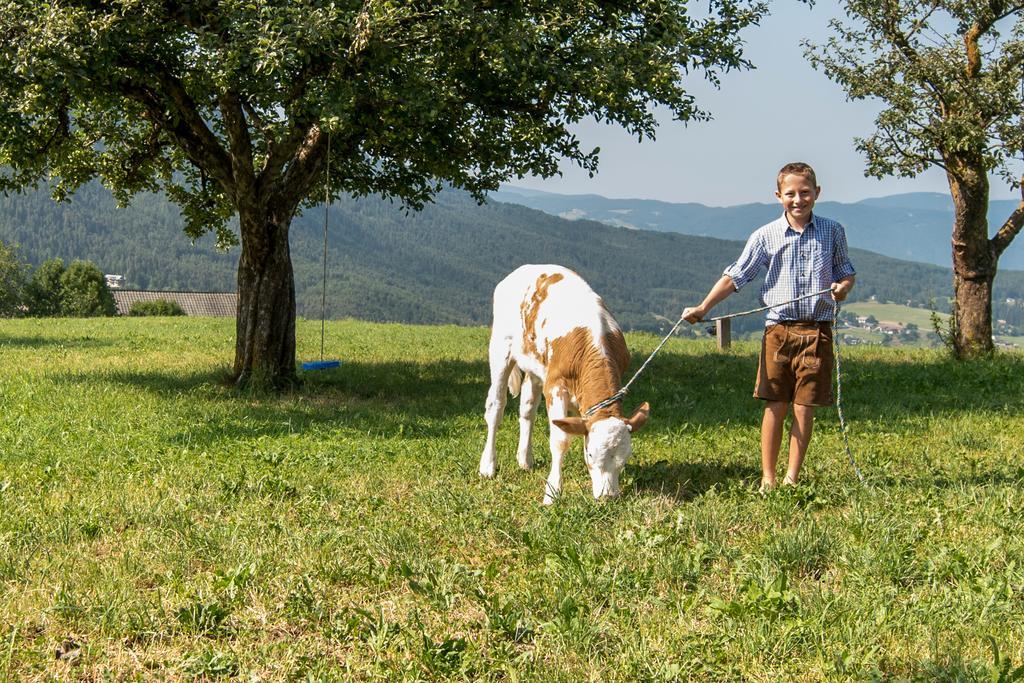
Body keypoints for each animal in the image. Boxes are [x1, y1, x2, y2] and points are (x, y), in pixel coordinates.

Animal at [477, 264, 647, 505]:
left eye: (624, 459)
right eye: (591, 454)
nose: (608, 497)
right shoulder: (555, 386)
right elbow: (560, 440)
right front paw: (552, 492)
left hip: (535, 367)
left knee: (527, 408)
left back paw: (525, 459)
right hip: (501, 348)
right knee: (496, 406)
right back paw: (488, 465)